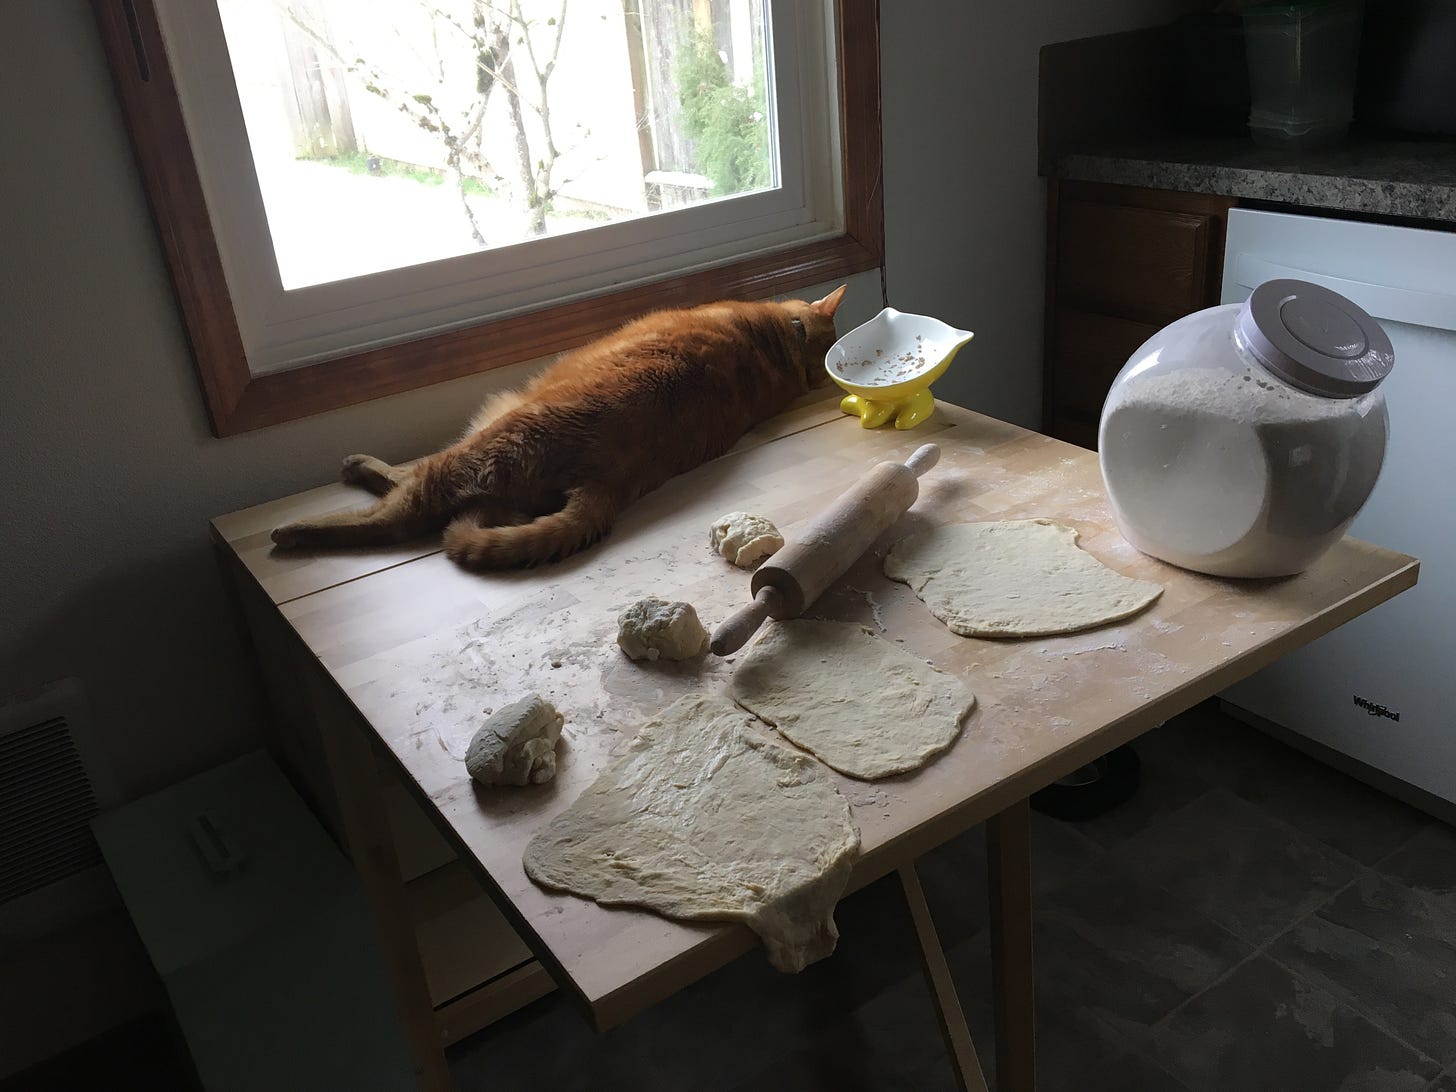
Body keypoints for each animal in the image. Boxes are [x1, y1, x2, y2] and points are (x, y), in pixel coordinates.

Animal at [269, 282, 850, 573]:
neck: (781, 343)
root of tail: (605, 484)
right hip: (498, 494)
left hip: (472, 451)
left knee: (399, 513)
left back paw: (307, 520)